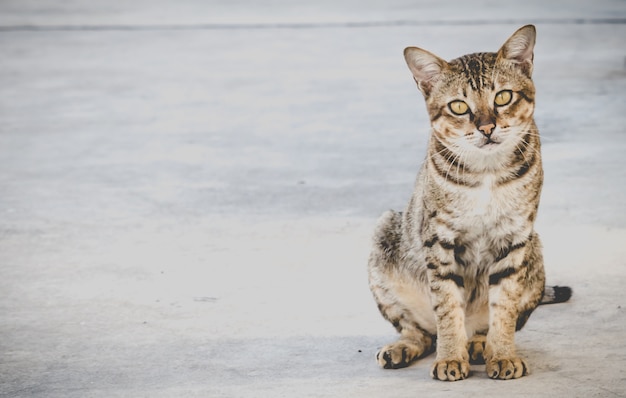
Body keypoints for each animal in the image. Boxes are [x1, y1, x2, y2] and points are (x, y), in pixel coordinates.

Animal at [366, 25, 572, 382]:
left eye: (502, 97)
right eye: (459, 107)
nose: (487, 127)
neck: (486, 173)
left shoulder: (515, 237)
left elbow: (503, 308)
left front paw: (502, 354)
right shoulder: (439, 240)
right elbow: (448, 307)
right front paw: (450, 357)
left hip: (535, 252)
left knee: (488, 322)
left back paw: (478, 344)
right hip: (383, 237)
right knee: (422, 331)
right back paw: (405, 347)